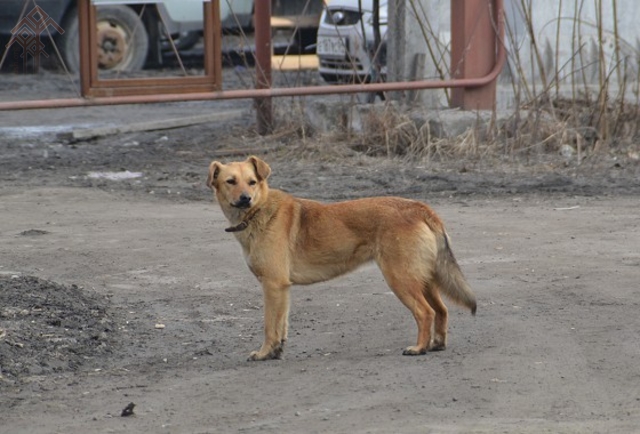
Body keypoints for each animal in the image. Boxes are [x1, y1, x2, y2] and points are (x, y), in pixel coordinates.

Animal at [206, 156, 476, 360]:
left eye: (252, 182)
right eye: (231, 181)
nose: (245, 199)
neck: (259, 211)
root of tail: (421, 208)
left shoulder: (272, 285)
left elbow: (269, 326)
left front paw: (263, 353)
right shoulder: (281, 289)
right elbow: (281, 325)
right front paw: (275, 352)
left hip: (401, 279)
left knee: (425, 312)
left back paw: (419, 348)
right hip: (424, 278)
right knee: (441, 310)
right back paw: (436, 344)